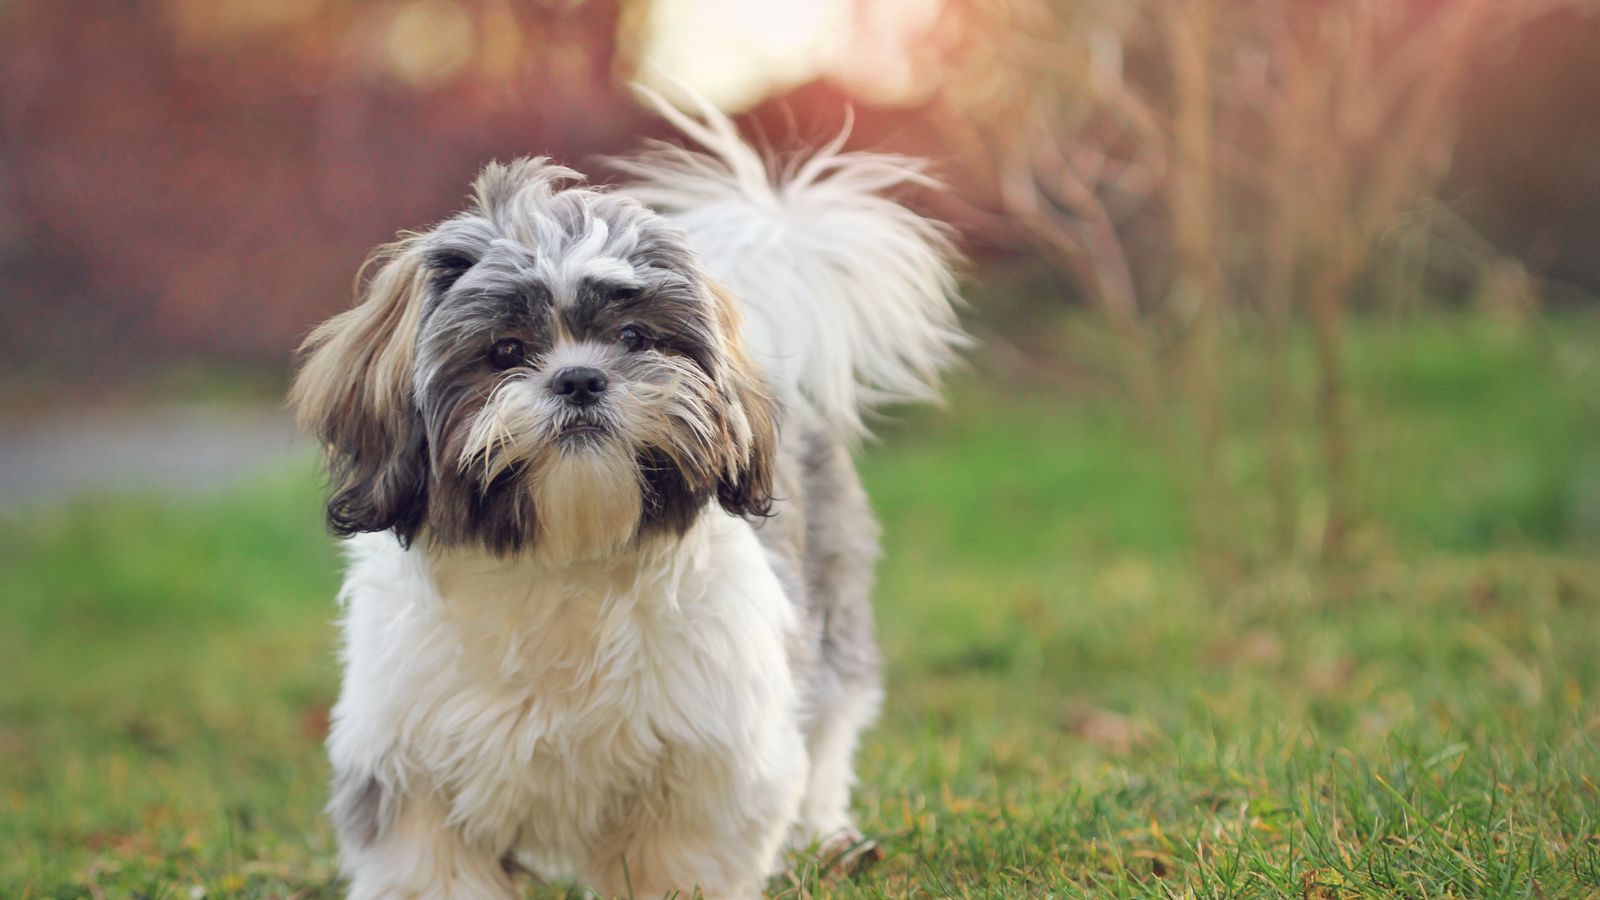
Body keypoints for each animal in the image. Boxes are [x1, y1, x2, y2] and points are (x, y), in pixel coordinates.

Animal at [288, 92, 960, 896]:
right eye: (505, 351)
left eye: (637, 338)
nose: (580, 378)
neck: (562, 566)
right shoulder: (410, 772)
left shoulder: (708, 764)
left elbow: (684, 857)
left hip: (830, 616)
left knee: (829, 729)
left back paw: (826, 837)